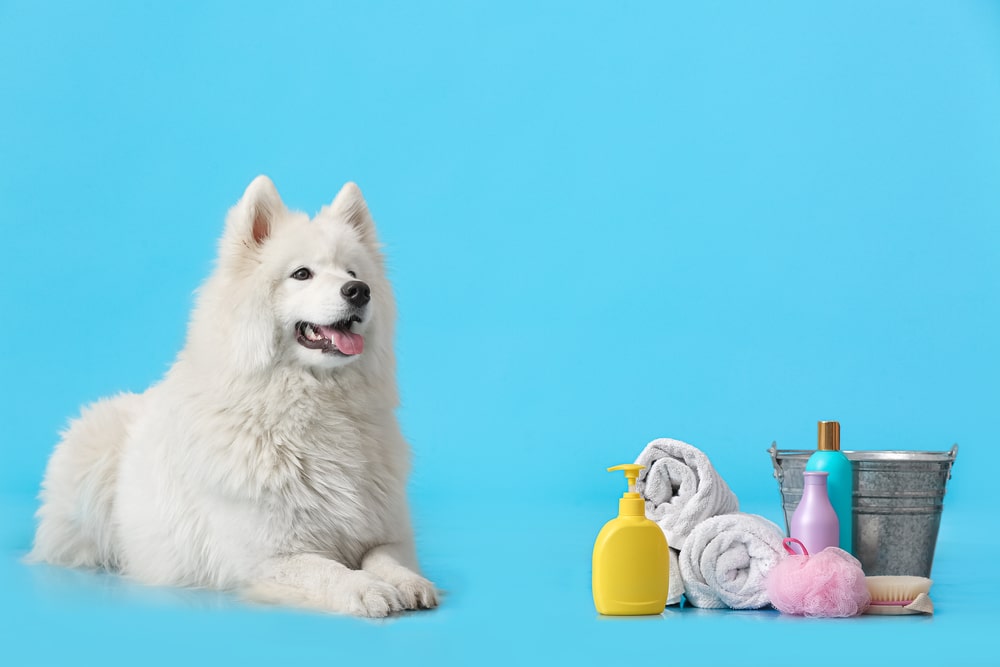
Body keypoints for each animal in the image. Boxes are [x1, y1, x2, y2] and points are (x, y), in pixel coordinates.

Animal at [29, 175, 438, 620]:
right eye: (302, 274)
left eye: (352, 272)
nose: (359, 291)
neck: (315, 409)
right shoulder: (270, 557)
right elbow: (328, 570)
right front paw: (365, 589)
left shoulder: (388, 533)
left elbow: (385, 558)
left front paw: (409, 583)